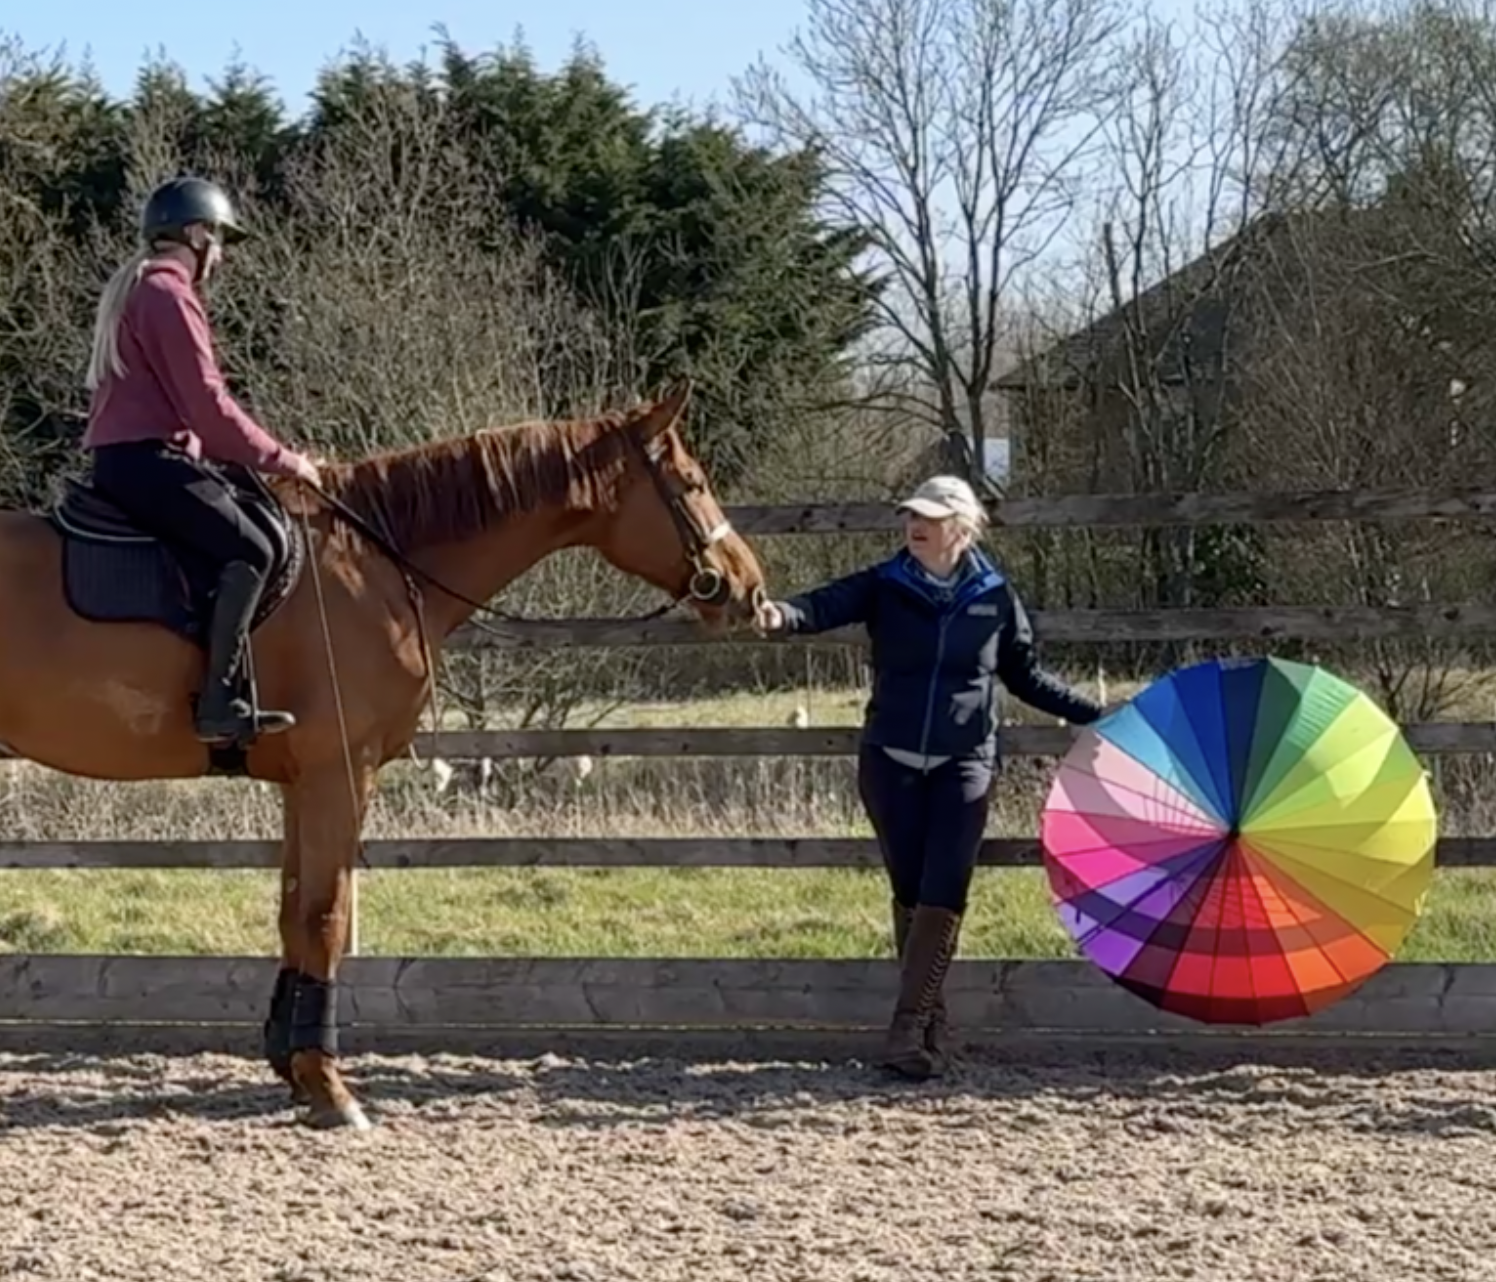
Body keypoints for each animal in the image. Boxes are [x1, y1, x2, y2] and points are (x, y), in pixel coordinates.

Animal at [0, 379, 770, 1129]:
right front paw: (328, 1085)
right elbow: (326, 917)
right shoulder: (340, 772)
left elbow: (294, 913)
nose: (747, 591)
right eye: (693, 483)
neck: (378, 561)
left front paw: (293, 1068)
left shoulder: (302, 782)